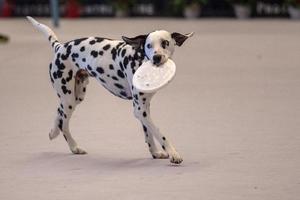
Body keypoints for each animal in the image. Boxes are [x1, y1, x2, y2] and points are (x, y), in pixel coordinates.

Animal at [27, 16, 193, 164]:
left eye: (165, 43)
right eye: (149, 45)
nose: (156, 57)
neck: (140, 60)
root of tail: (60, 47)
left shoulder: (144, 108)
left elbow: (148, 133)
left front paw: (155, 152)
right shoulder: (140, 109)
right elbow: (159, 133)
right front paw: (173, 154)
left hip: (75, 97)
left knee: (59, 113)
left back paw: (53, 132)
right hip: (69, 98)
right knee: (64, 123)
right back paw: (74, 147)